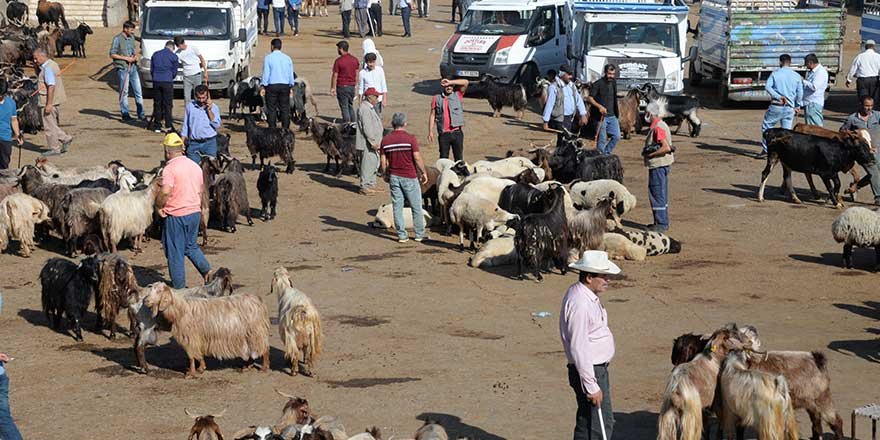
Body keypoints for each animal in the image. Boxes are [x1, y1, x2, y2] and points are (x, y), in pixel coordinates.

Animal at [144, 282, 272, 378]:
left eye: (159, 291)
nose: (146, 301)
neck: (180, 310)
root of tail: (258, 300)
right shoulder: (197, 338)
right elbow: (198, 354)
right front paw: (201, 368)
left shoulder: (190, 337)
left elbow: (191, 356)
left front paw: (191, 373)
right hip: (247, 334)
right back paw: (248, 366)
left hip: (256, 331)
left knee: (264, 348)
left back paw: (264, 367)